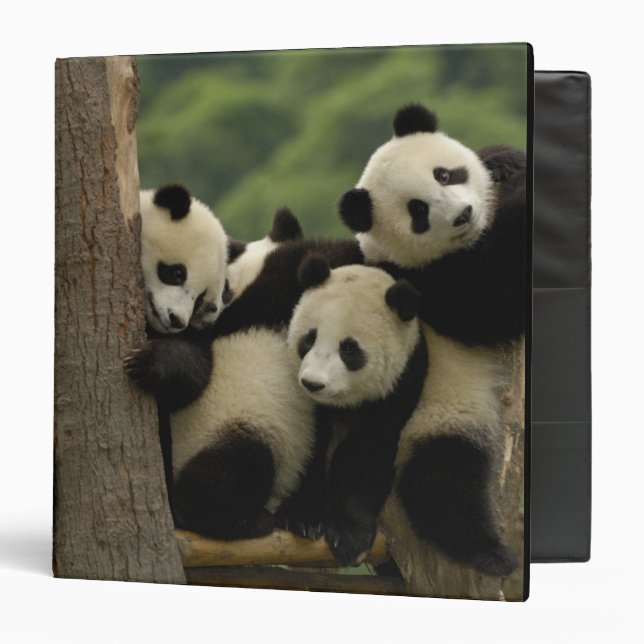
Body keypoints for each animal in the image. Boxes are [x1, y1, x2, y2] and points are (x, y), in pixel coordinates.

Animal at [282, 254, 428, 566]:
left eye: (349, 349)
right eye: (309, 338)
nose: (313, 383)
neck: (341, 404)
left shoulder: (398, 389)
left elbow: (366, 457)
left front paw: (348, 536)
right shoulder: (311, 408)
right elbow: (309, 445)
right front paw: (302, 518)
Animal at [337, 104, 526, 576]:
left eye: (444, 174)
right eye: (418, 212)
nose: (462, 214)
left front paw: (504, 162)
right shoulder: (426, 284)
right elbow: (492, 297)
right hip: (433, 417)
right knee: (442, 481)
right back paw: (487, 552)